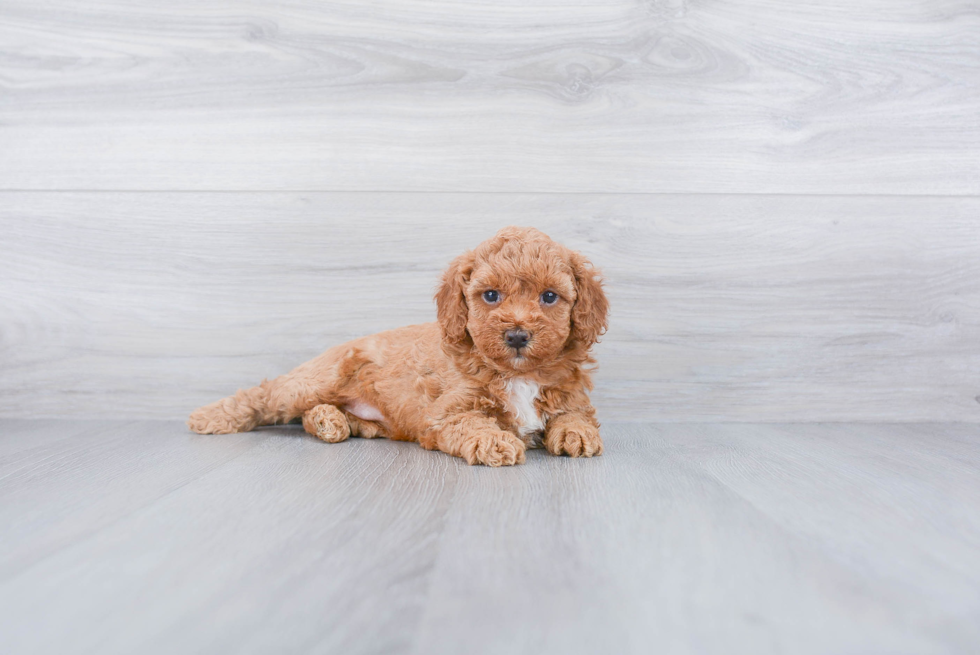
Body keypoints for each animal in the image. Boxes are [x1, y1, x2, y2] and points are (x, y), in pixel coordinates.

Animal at [188, 227, 608, 466]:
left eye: (549, 297)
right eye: (491, 295)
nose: (518, 336)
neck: (519, 374)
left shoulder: (571, 395)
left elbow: (576, 415)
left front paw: (577, 435)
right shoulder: (446, 412)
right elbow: (472, 422)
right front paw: (494, 441)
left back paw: (332, 422)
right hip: (315, 380)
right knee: (266, 394)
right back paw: (209, 417)